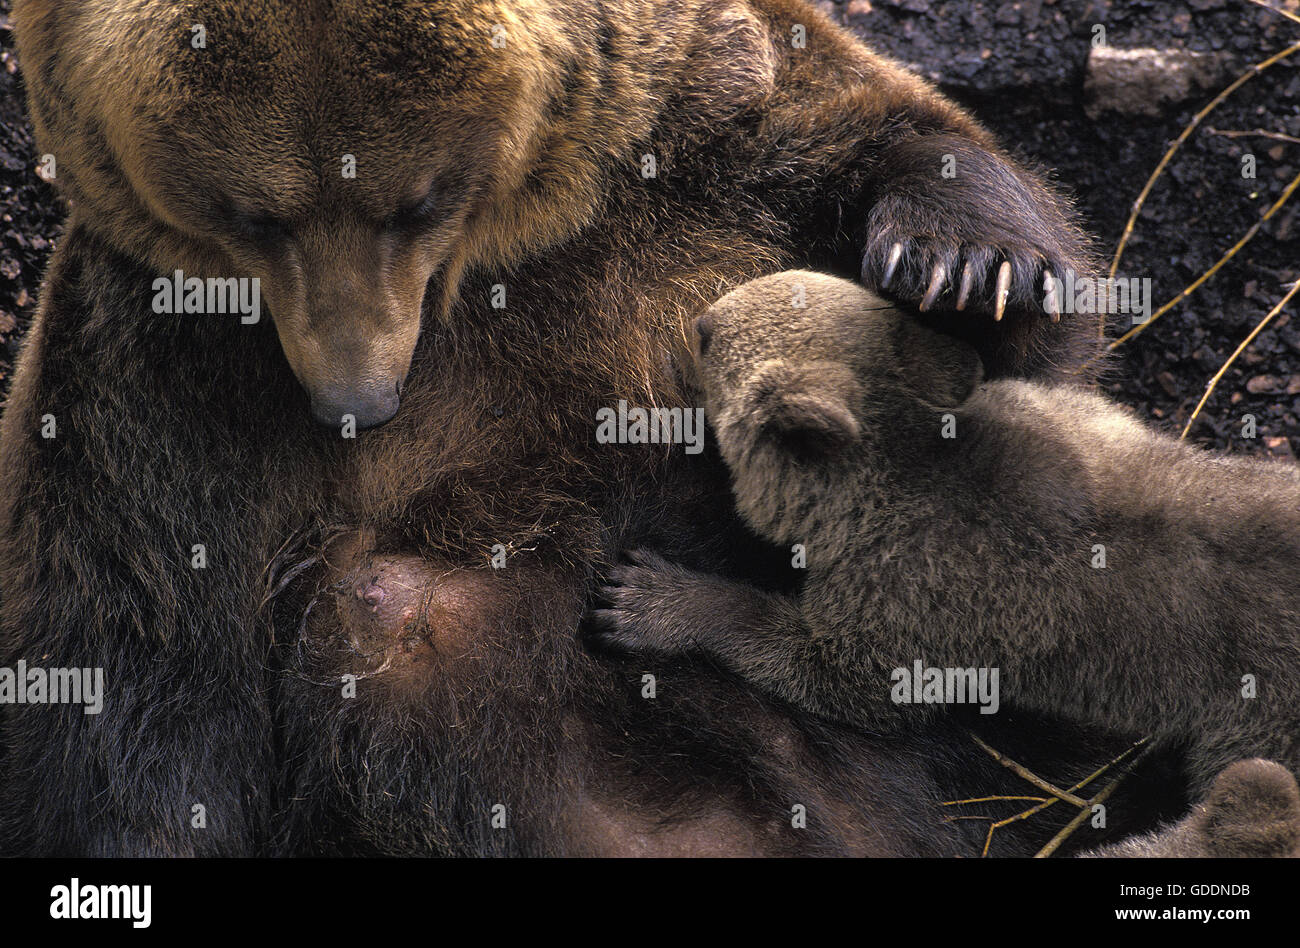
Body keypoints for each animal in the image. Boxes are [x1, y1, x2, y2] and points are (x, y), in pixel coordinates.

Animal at [0, 0, 1169, 857]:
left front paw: (967, 268)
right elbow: (136, 682)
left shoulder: (704, 147)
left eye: (417, 200)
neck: (496, 270)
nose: (355, 402)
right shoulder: (157, 393)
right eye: (253, 214)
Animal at [590, 270, 1300, 800]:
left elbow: (835, 674)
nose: (691, 317)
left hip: (1255, 725)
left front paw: (655, 602)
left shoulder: (916, 602)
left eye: (707, 336)